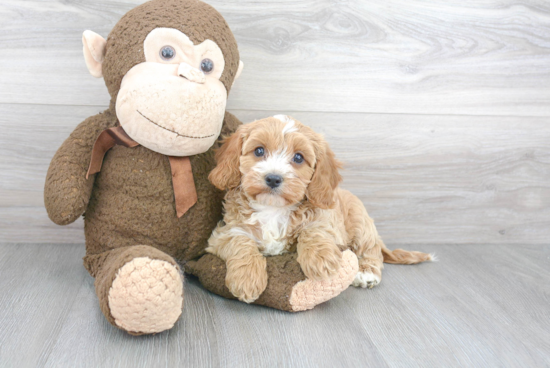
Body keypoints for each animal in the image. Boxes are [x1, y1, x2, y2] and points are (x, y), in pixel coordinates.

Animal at [206, 116, 432, 304]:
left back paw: (367, 273)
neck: (273, 208)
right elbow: (240, 241)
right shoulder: (224, 232)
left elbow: (313, 229)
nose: (273, 178)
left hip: (360, 222)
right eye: (259, 151)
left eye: (298, 158)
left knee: (372, 250)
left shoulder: (327, 222)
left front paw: (320, 260)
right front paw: (246, 278)